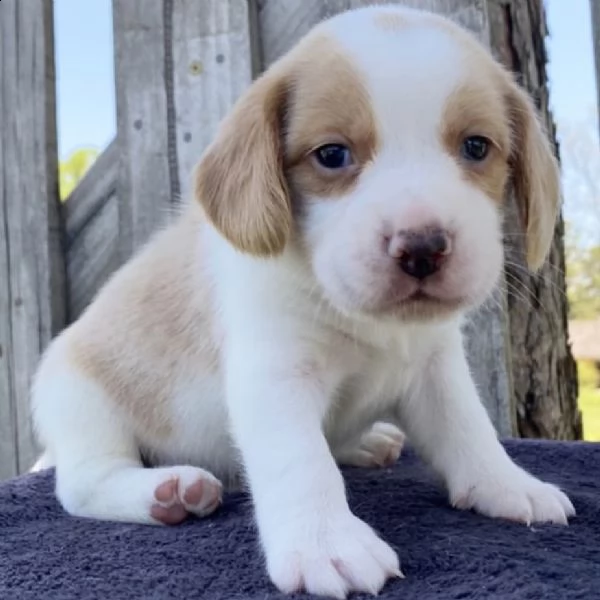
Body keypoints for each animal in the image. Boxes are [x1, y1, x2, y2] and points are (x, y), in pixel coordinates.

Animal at [30, 5, 576, 600]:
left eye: (476, 147)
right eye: (332, 155)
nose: (422, 247)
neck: (366, 319)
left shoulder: (436, 367)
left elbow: (470, 430)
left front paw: (508, 484)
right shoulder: (277, 375)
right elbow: (302, 462)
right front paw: (326, 543)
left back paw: (364, 443)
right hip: (82, 402)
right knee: (85, 482)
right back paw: (166, 492)